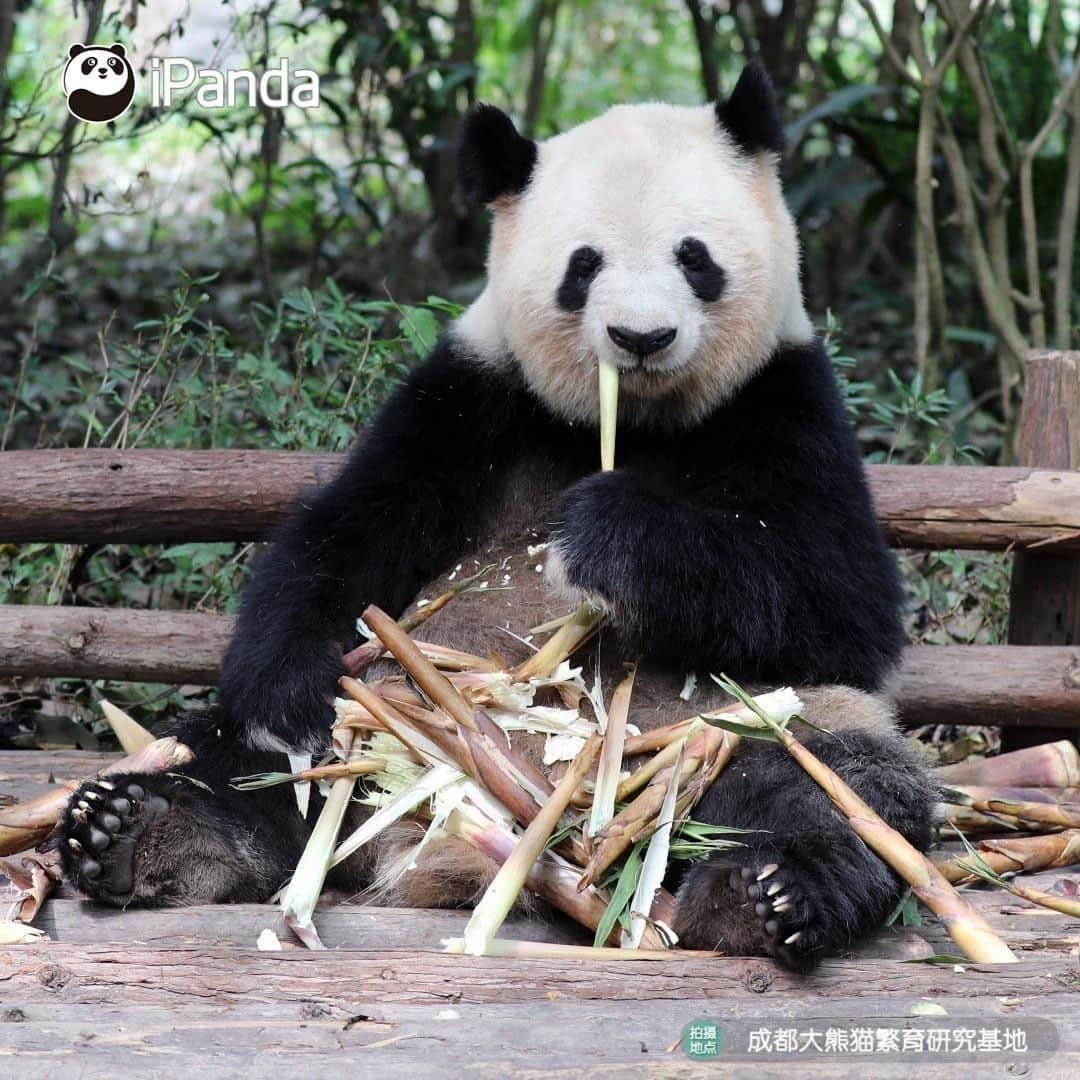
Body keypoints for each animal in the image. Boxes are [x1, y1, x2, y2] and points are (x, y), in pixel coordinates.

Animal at [59, 67, 933, 972]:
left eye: (694, 257)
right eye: (584, 265)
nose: (642, 337)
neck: (633, 423)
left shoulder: (784, 399)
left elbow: (838, 600)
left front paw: (604, 535)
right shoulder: (472, 398)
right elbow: (347, 538)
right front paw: (285, 688)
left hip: (727, 730)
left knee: (836, 786)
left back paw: (766, 895)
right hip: (369, 725)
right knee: (241, 763)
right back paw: (139, 832)